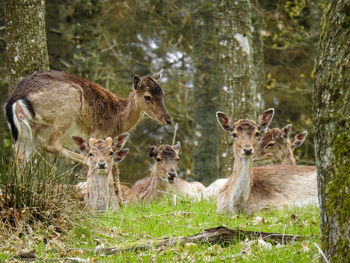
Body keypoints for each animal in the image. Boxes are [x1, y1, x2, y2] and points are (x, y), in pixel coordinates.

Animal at [5, 70, 172, 163]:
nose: (168, 119)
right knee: (50, 144)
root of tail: (15, 97)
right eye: (147, 96)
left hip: (27, 131)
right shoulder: (100, 134)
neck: (118, 119)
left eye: (163, 94)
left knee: (20, 156)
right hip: (68, 107)